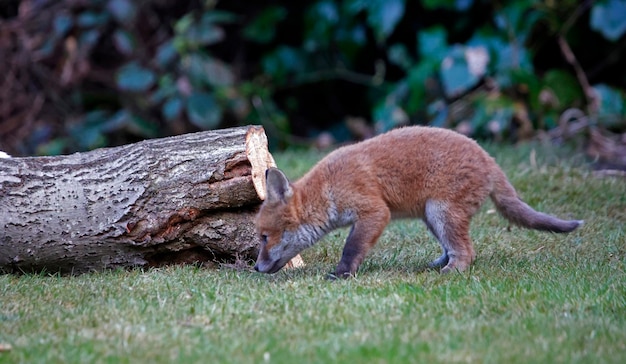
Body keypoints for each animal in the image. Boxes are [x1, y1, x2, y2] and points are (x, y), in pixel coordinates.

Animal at [252, 125, 580, 276]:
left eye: (265, 237)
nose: (255, 268)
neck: (328, 188)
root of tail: (489, 158)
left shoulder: (374, 212)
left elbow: (352, 247)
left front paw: (342, 273)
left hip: (441, 212)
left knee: (467, 252)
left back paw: (452, 272)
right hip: (432, 218)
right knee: (451, 248)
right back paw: (436, 264)